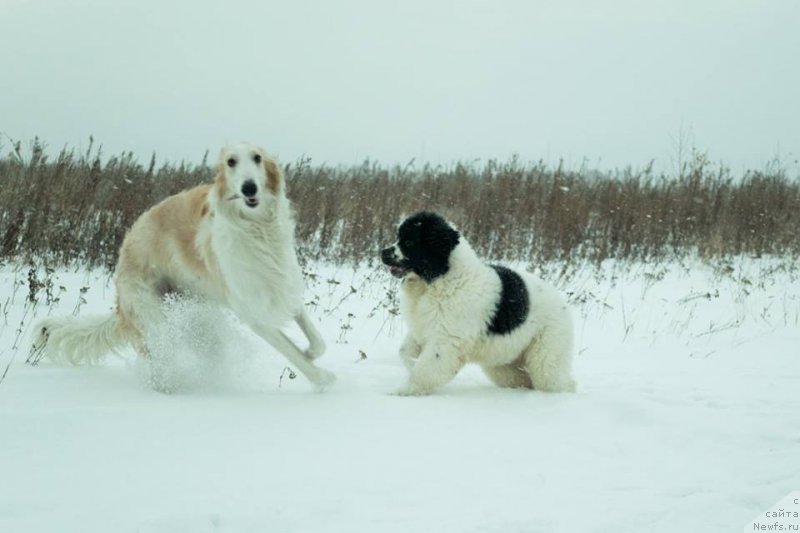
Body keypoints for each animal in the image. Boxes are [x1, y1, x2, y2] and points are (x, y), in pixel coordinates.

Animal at [32, 143, 334, 388]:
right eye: (231, 161)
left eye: (257, 158)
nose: (249, 187)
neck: (256, 229)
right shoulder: (252, 311)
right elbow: (291, 351)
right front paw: (324, 380)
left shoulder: (281, 282)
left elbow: (317, 340)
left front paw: (311, 352)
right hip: (155, 318)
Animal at [382, 212, 576, 394]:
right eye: (399, 237)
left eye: (410, 242)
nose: (383, 252)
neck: (441, 278)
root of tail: (563, 302)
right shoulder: (422, 327)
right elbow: (404, 352)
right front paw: (411, 367)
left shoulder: (446, 339)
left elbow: (427, 369)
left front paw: (404, 390)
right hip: (505, 358)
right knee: (520, 377)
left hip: (547, 352)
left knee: (554, 378)